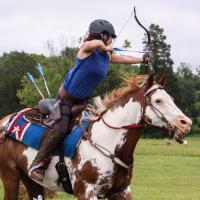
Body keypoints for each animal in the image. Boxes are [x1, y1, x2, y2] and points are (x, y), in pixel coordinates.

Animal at [0, 75, 192, 200]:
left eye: (171, 98)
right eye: (158, 100)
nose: (186, 123)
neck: (108, 142)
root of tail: (6, 121)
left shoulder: (122, 192)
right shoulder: (86, 191)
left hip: (31, 181)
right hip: (10, 176)